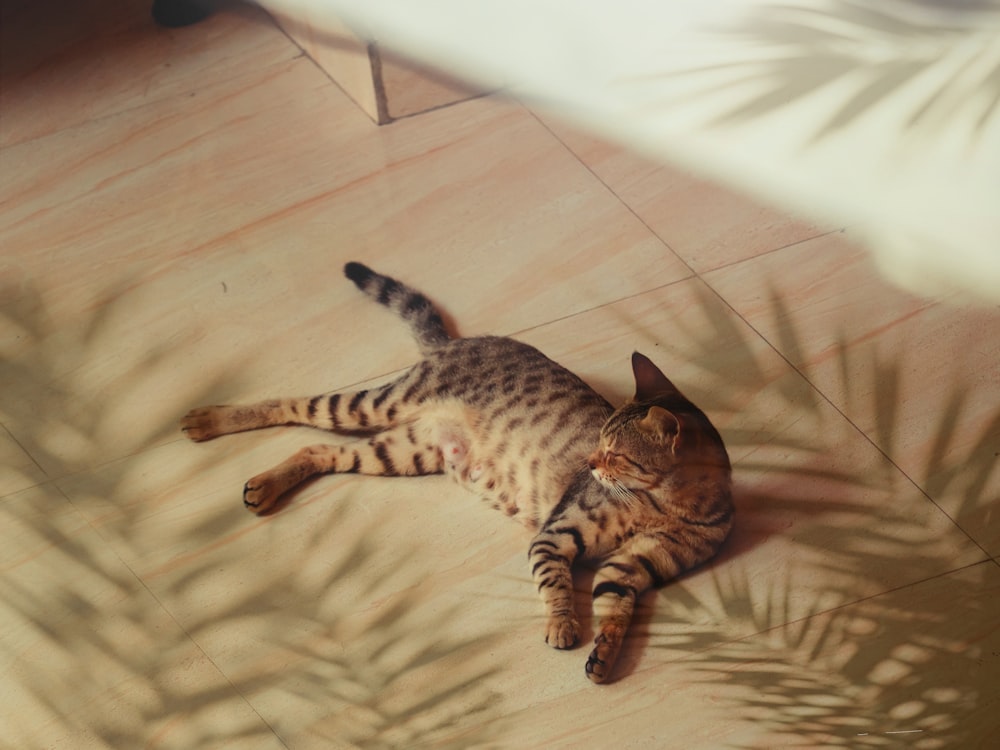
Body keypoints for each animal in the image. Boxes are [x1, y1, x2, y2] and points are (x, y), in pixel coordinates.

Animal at [184, 262, 732, 684]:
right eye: (599, 441)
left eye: (615, 453)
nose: (589, 464)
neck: (664, 507)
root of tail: (456, 342)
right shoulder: (555, 536)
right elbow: (556, 586)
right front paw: (563, 626)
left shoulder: (631, 568)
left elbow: (616, 610)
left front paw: (605, 655)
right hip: (375, 405)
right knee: (296, 406)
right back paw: (209, 422)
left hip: (400, 452)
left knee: (318, 447)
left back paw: (264, 485)